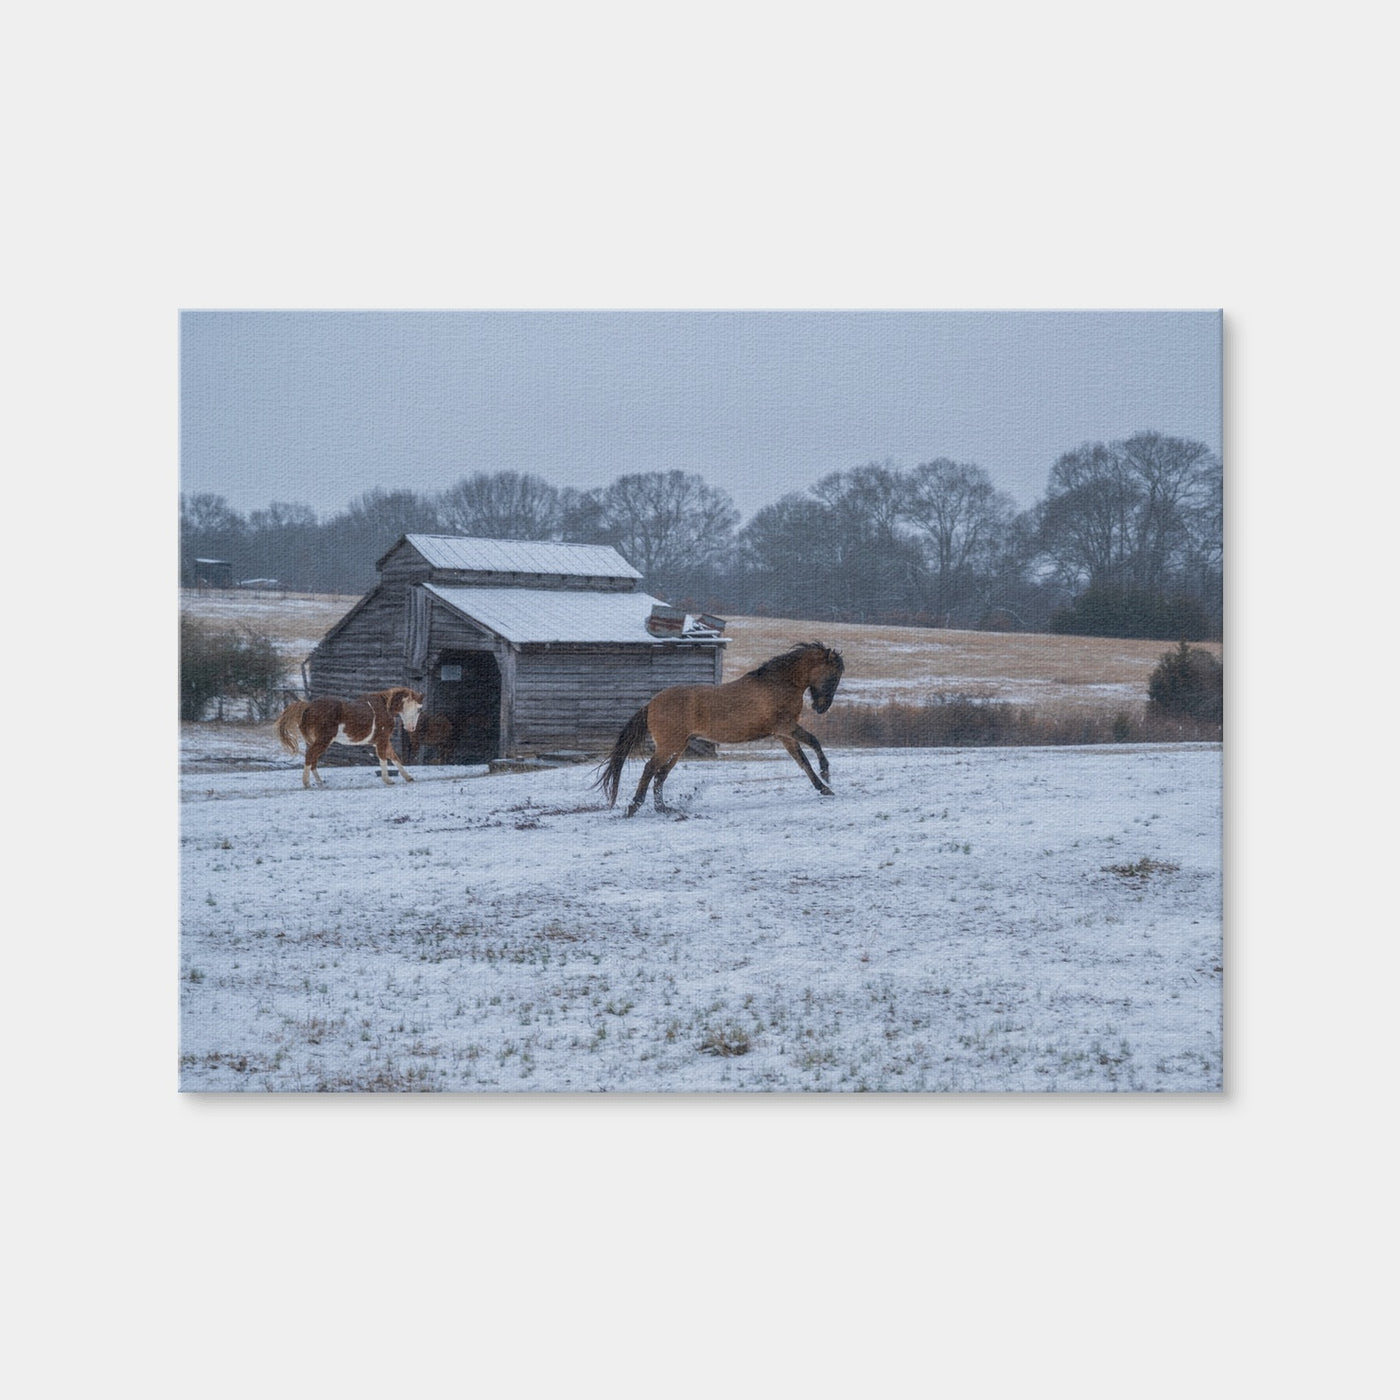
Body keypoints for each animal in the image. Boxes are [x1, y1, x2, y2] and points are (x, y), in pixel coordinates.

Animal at [275, 687, 424, 788]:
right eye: (418, 709)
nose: (411, 728)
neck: (385, 707)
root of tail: (308, 706)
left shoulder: (380, 741)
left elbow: (394, 757)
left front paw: (408, 777)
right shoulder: (382, 739)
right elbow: (383, 758)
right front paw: (387, 780)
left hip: (314, 741)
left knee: (313, 759)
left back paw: (320, 782)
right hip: (323, 740)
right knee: (310, 756)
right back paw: (307, 783)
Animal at [595, 642, 844, 816]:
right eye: (833, 676)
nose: (821, 708)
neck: (778, 684)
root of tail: (651, 704)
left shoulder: (784, 735)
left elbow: (803, 761)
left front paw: (824, 788)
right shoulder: (786, 727)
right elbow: (814, 742)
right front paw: (826, 774)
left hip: (678, 747)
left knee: (660, 774)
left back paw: (663, 808)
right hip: (669, 745)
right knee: (650, 769)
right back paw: (634, 807)